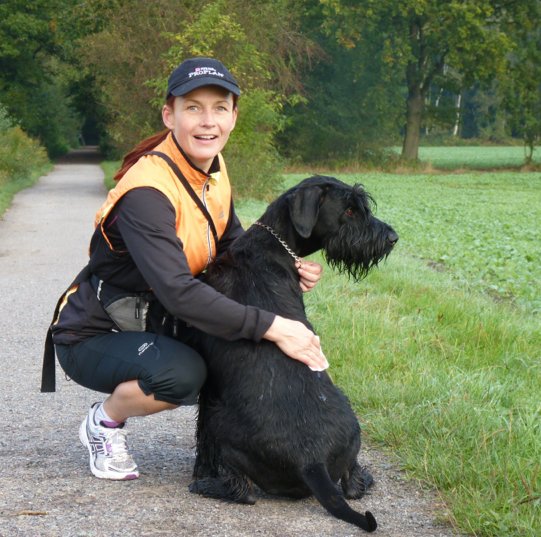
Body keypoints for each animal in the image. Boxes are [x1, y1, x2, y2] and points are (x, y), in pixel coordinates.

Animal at [190, 174, 396, 528]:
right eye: (350, 210)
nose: (392, 238)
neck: (272, 245)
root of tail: (312, 461)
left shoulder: (210, 391)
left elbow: (201, 433)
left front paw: (200, 470)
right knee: (352, 484)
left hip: (222, 423)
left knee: (243, 490)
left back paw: (207, 484)